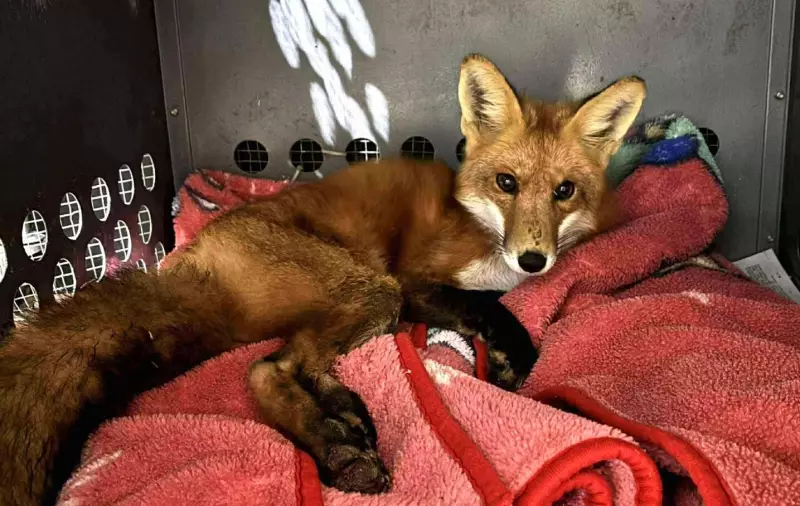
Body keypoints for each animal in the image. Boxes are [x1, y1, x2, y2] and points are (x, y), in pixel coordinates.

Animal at [0, 54, 645, 505]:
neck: (480, 228)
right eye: (507, 183)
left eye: (565, 191)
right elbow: (492, 309)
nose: (533, 261)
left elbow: (495, 305)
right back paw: (337, 439)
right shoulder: (416, 281)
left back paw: (338, 430)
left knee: (279, 364)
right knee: (270, 367)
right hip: (374, 291)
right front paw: (516, 358)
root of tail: (187, 257)